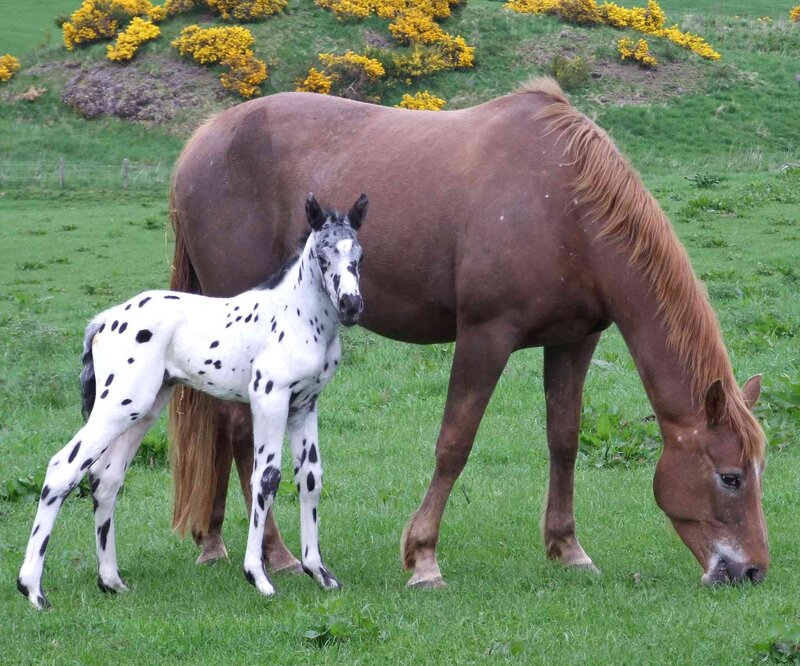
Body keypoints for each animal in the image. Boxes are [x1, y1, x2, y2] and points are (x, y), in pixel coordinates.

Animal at [17, 194, 368, 609]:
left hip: (143, 408)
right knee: (63, 468)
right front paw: (258, 577)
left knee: (106, 476)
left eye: (358, 256)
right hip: (118, 405)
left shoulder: (304, 405)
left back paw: (111, 581)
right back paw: (33, 590)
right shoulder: (269, 398)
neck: (296, 317)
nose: (351, 305)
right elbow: (265, 478)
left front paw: (321, 573)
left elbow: (310, 478)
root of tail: (104, 321)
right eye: (323, 255)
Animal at [167, 78, 769, 589]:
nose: (753, 571)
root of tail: (202, 142)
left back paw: (214, 541)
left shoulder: (573, 341)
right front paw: (423, 558)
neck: (566, 207)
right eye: (731, 477)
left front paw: (567, 549)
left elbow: (564, 439)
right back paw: (277, 555)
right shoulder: (486, 335)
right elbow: (455, 442)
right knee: (240, 434)